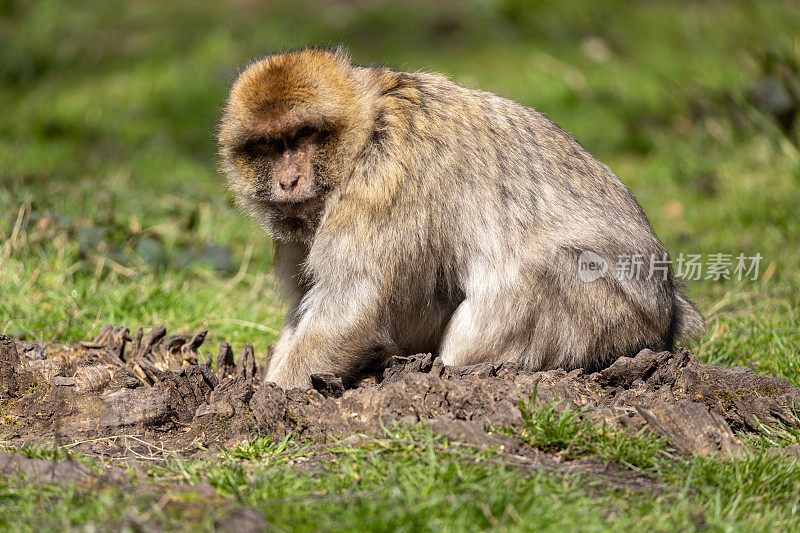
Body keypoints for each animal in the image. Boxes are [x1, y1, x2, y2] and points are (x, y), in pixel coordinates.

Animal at [216, 46, 704, 386]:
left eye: (301, 135)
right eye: (269, 144)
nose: (288, 181)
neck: (365, 132)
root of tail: (667, 314)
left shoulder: (383, 185)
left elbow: (349, 307)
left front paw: (273, 396)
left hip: (606, 315)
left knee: (540, 271)